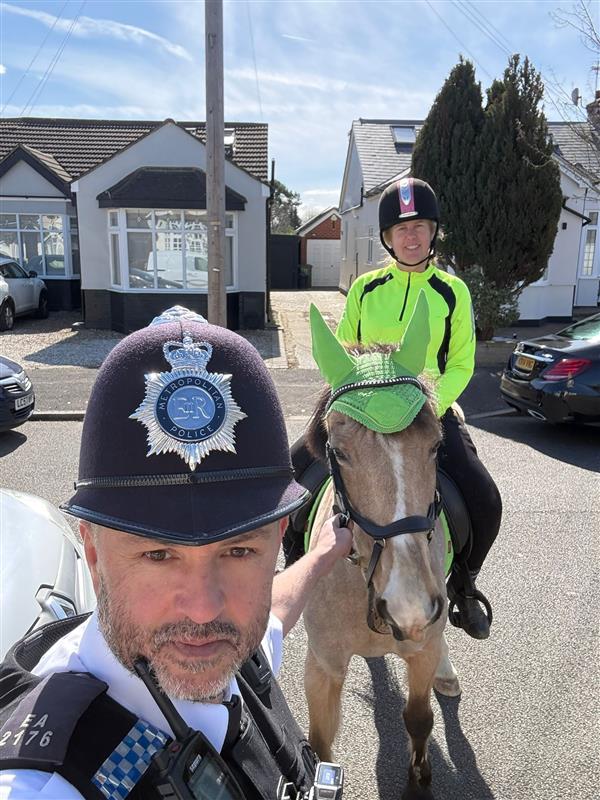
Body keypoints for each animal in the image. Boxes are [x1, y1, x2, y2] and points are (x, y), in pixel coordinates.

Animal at [302, 300, 462, 799]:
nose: (408, 605)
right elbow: (320, 746)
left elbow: (419, 718)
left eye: (435, 446)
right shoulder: (323, 666)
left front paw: (418, 782)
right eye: (337, 450)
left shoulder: (422, 646)